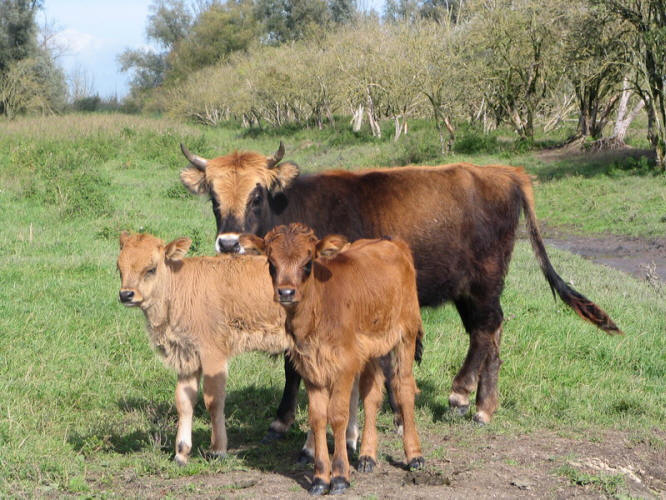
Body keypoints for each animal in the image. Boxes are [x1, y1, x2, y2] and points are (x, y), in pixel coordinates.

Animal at [179, 144, 620, 430]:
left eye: (257, 194)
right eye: (214, 196)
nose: (228, 243)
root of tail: (502, 172)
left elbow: (300, 363)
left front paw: (287, 418)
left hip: (484, 281)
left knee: (485, 329)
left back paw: (462, 394)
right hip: (468, 289)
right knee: (490, 333)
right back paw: (484, 406)